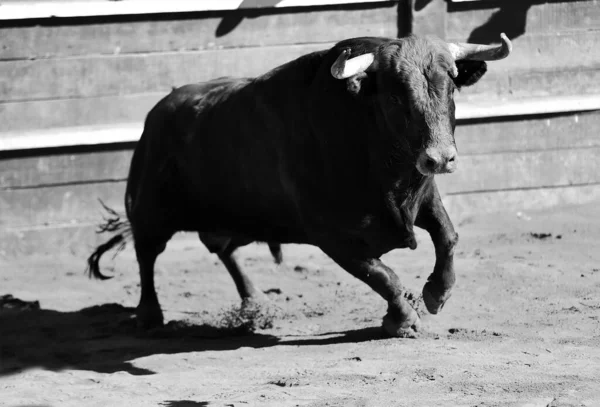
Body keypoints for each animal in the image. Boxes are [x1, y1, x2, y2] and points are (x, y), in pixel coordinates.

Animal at [88, 33, 510, 336]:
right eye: (394, 94)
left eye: (451, 87)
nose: (439, 158)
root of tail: (158, 113)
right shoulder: (332, 235)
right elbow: (381, 274)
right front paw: (402, 320)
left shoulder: (423, 197)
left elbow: (448, 238)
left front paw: (437, 293)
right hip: (150, 211)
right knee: (147, 254)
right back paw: (149, 315)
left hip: (238, 216)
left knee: (222, 248)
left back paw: (254, 301)